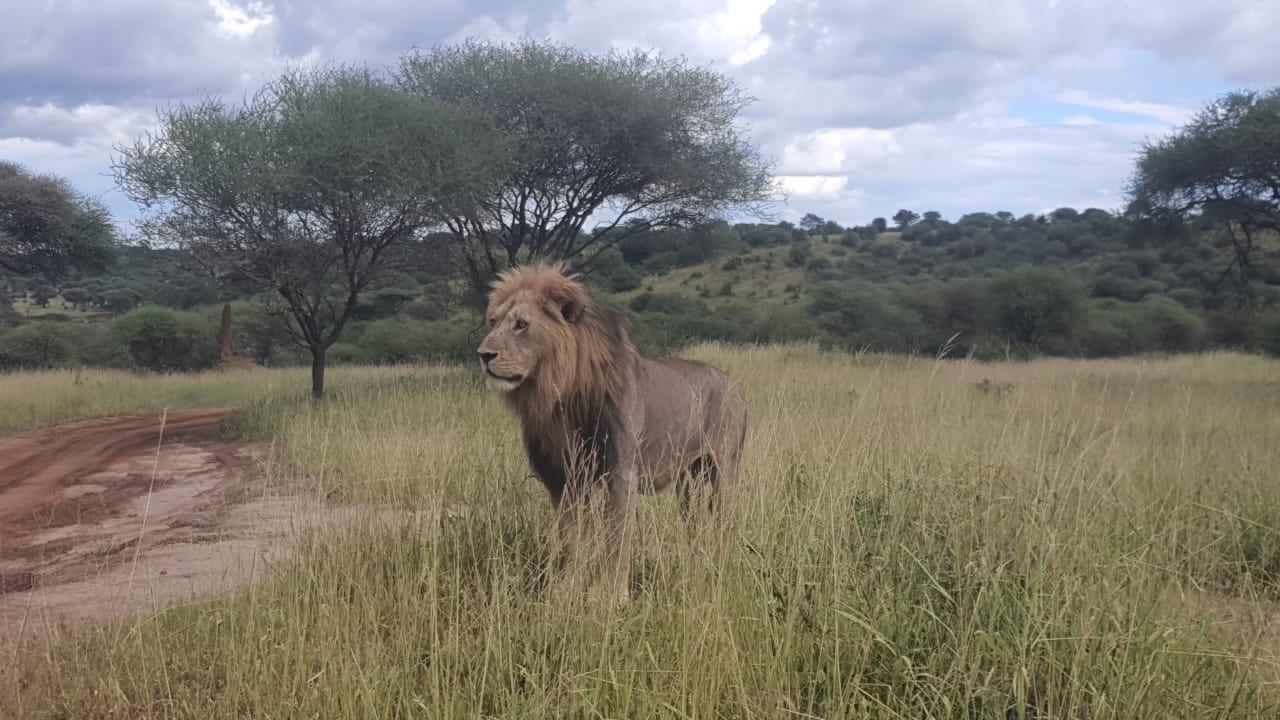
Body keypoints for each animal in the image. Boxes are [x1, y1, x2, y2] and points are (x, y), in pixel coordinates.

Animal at [476, 262, 748, 602]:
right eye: (493, 322)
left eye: (521, 325)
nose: (483, 355)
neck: (560, 397)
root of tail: (735, 385)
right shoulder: (565, 478)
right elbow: (573, 538)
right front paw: (565, 590)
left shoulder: (620, 472)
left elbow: (616, 538)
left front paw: (611, 596)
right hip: (689, 480)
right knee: (695, 523)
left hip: (724, 470)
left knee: (726, 521)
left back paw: (722, 566)